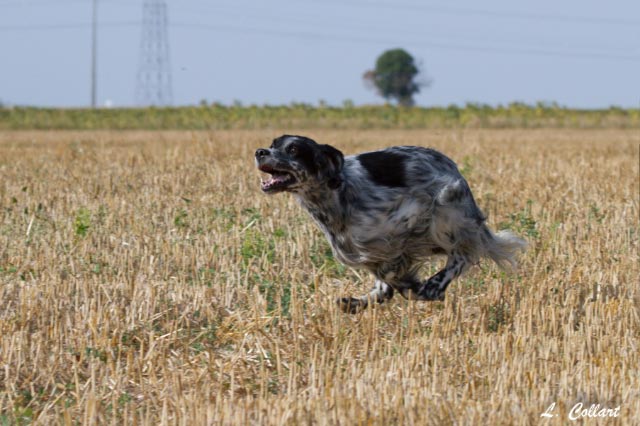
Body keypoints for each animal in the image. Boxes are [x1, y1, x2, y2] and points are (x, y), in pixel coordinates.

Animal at [255, 136, 524, 312]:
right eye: (273, 145)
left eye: (293, 149)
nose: (259, 152)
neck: (336, 194)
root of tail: (451, 164)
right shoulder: (363, 250)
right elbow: (384, 280)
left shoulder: (406, 223)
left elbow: (393, 269)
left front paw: (416, 285)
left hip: (447, 209)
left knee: (463, 253)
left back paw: (434, 286)